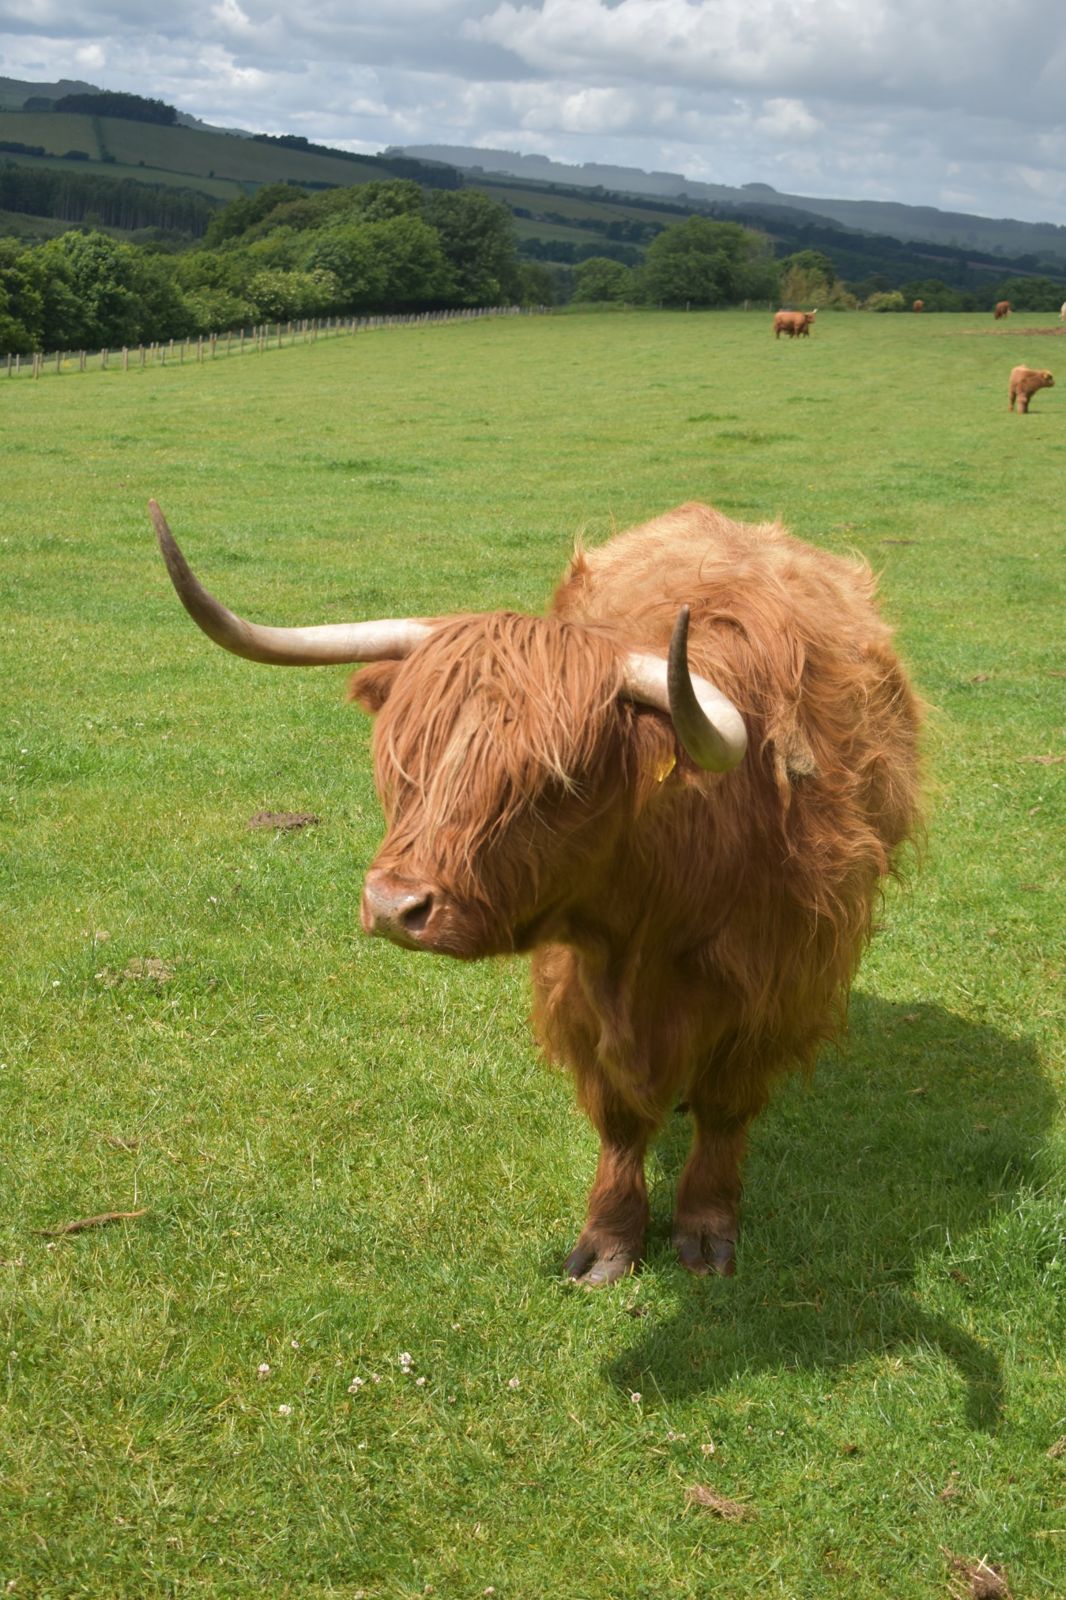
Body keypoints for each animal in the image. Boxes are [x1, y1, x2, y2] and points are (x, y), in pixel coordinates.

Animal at [151, 498, 922, 1286]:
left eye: (557, 782)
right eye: (409, 755)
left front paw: (707, 1232)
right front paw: (608, 1241)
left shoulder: (777, 986)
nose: (396, 908)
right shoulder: (576, 981)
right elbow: (618, 1113)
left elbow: (725, 1108)